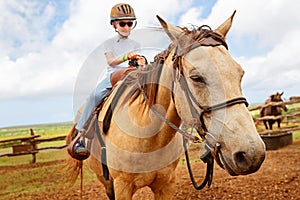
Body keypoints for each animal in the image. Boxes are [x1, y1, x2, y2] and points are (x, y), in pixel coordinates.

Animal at [65, 11, 264, 199]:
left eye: (240, 73)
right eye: (196, 77)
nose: (252, 153)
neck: (148, 137)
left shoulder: (166, 184)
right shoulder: (122, 186)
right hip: (105, 181)